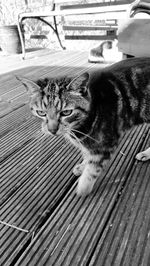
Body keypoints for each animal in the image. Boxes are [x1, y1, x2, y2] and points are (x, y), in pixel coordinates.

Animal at [17, 57, 150, 196]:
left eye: (66, 112)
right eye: (41, 113)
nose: (52, 130)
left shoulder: (105, 146)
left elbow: (92, 170)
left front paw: (83, 188)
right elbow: (87, 154)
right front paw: (83, 166)